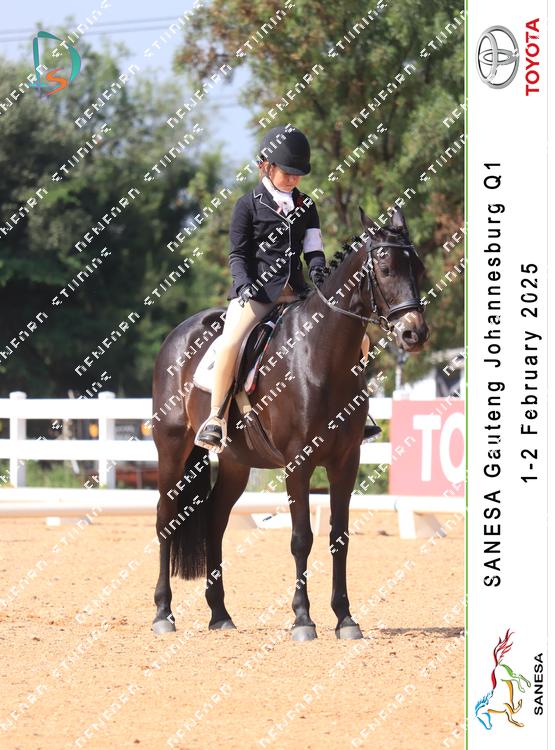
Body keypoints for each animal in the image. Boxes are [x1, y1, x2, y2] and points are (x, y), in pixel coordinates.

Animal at [150, 206, 429, 640]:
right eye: (384, 269)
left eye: (417, 267)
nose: (414, 332)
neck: (321, 355)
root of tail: (177, 335)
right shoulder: (299, 462)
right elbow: (301, 538)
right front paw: (303, 619)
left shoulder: (346, 461)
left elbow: (339, 537)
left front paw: (345, 618)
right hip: (172, 450)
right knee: (166, 519)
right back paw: (163, 613)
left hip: (236, 462)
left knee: (214, 521)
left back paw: (220, 614)